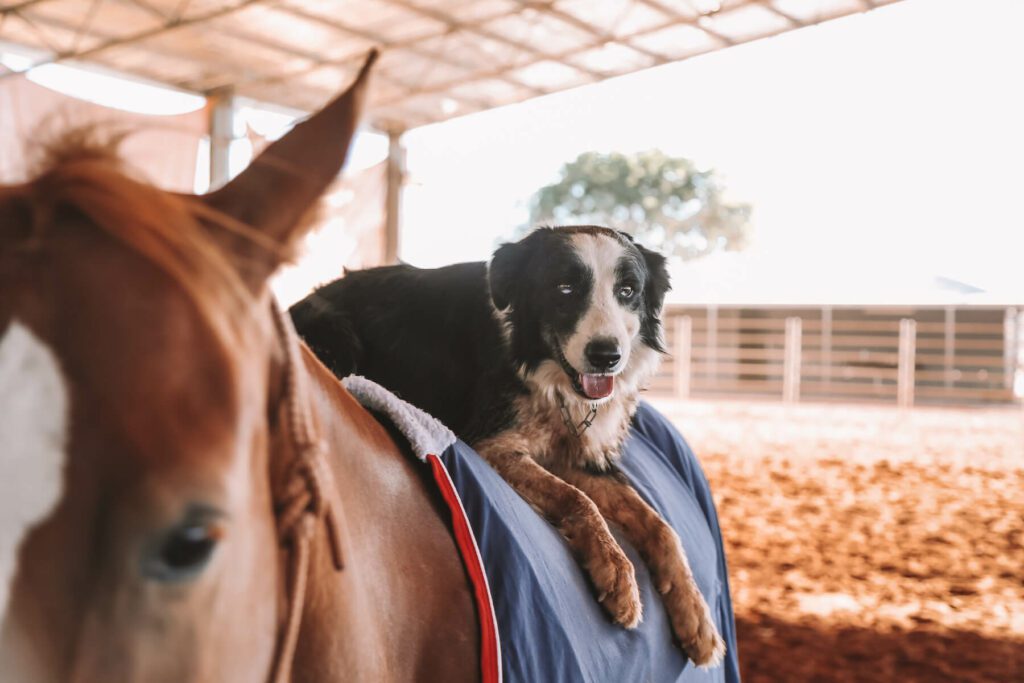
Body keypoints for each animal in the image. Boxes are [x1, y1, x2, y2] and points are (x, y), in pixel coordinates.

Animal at [292, 227, 724, 663]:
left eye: (628, 291)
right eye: (564, 288)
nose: (606, 356)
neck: (546, 375)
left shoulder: (581, 459)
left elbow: (660, 525)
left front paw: (696, 615)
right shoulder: (493, 444)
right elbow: (577, 499)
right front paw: (616, 570)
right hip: (338, 333)